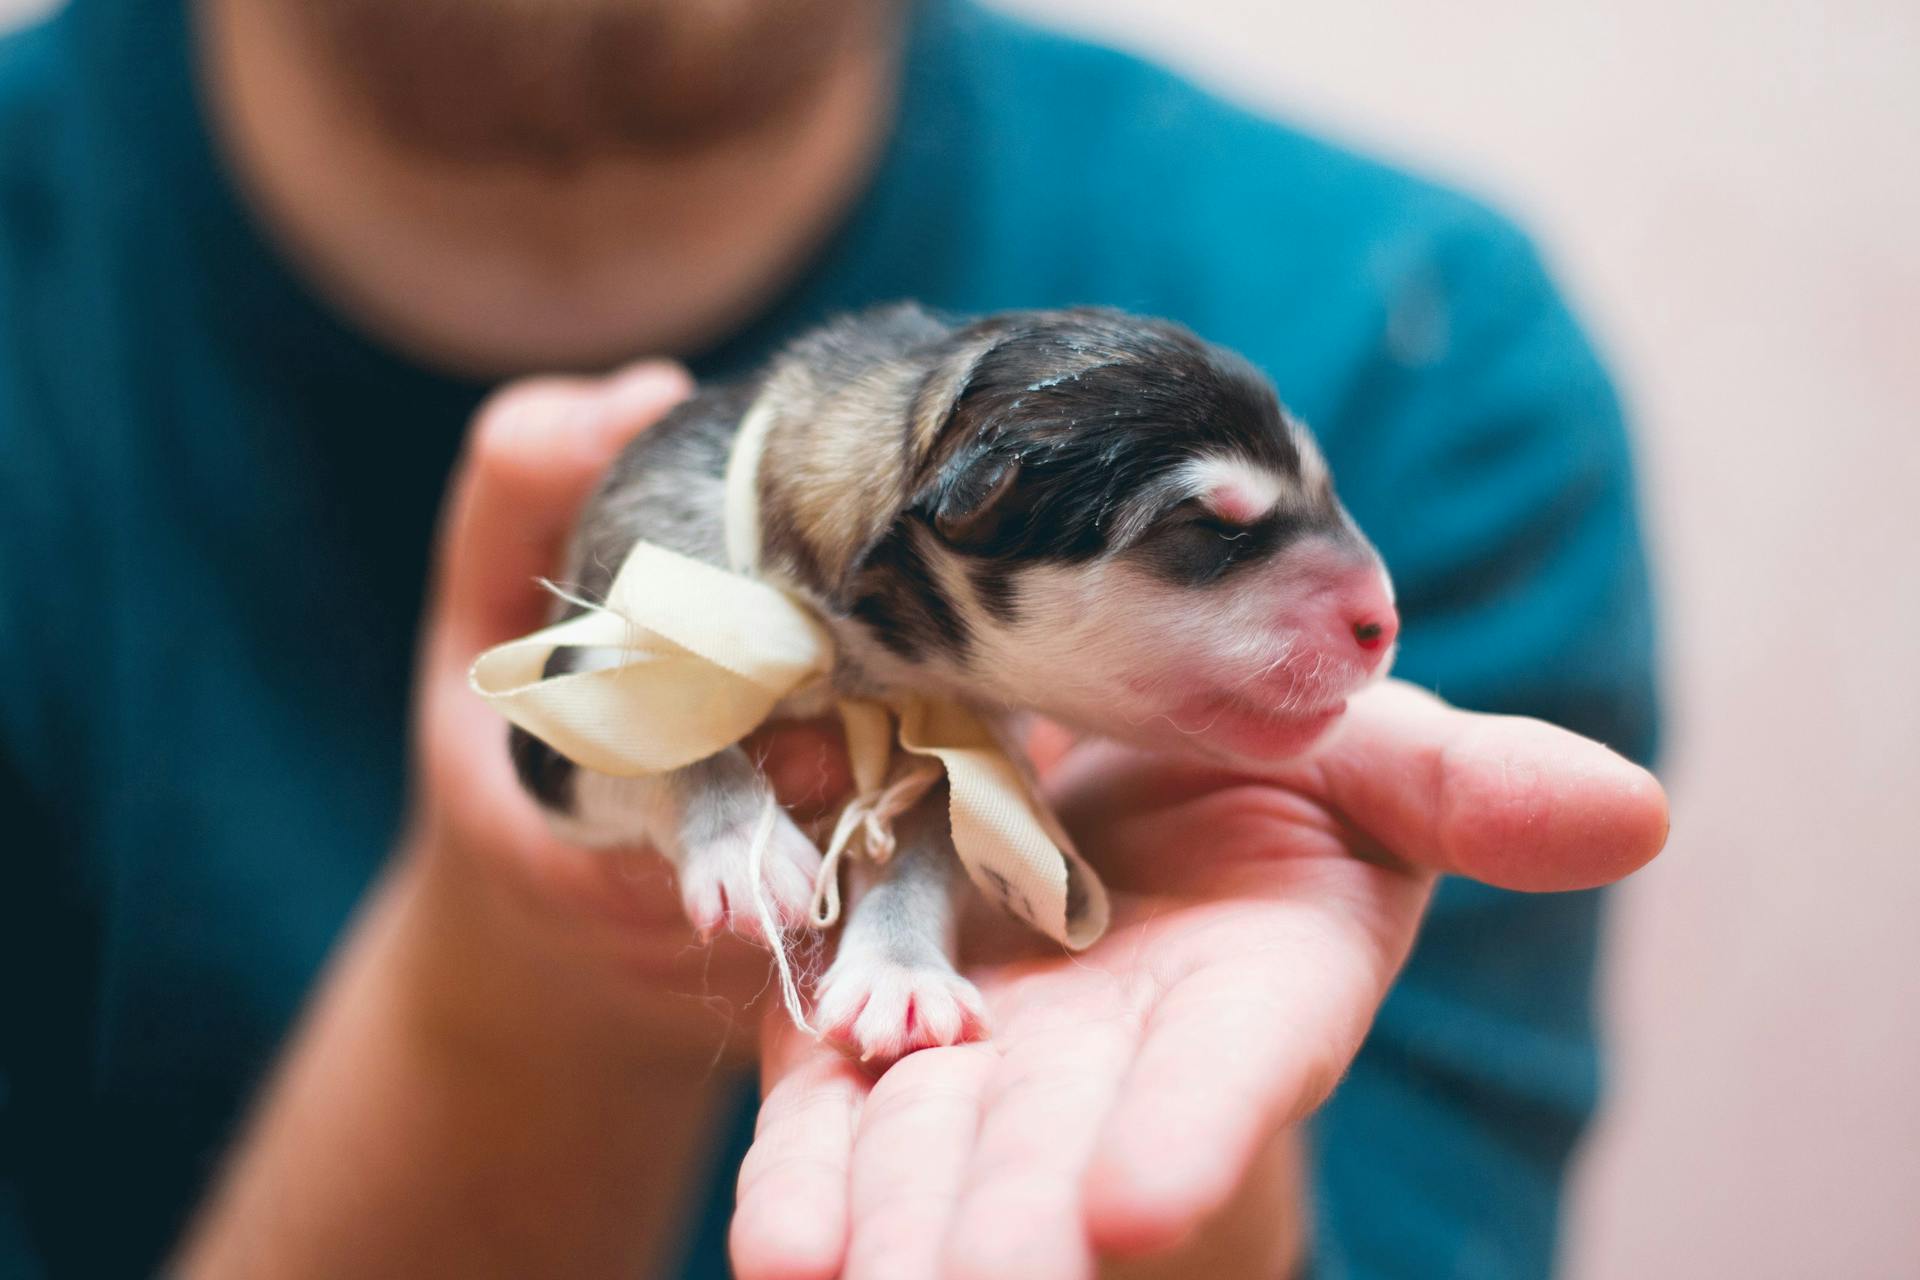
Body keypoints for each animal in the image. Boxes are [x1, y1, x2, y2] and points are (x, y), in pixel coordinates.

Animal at [510, 303, 1397, 1059]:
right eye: (1208, 527)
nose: (1384, 618)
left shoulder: (952, 741)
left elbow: (923, 850)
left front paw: (899, 974)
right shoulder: (568, 687)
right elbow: (663, 735)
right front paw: (742, 846)